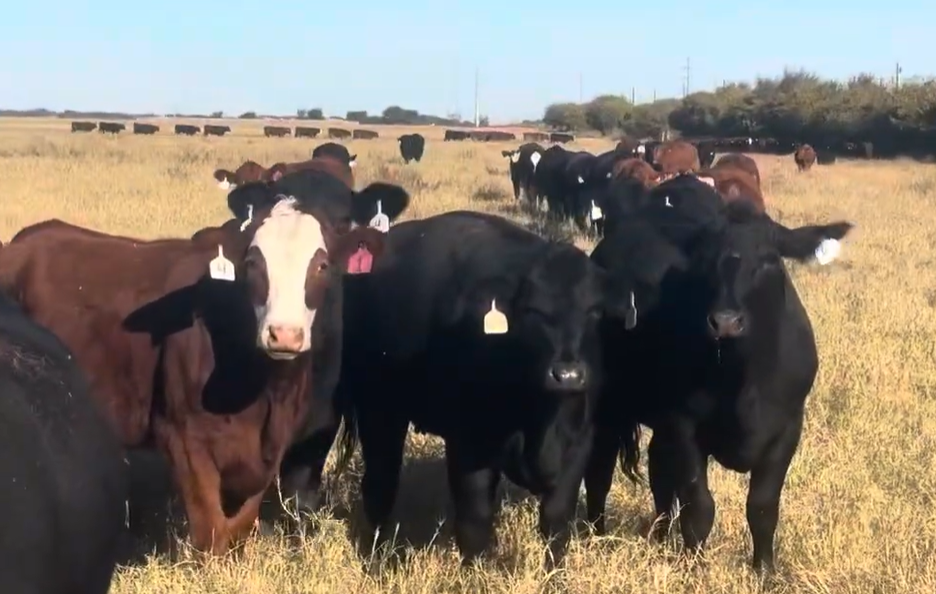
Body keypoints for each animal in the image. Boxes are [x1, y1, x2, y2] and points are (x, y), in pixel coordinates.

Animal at [0, 178, 408, 555]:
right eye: (252, 264)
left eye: (322, 265)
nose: (283, 335)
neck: (264, 388)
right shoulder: (184, 438)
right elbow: (211, 532)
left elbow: (241, 524)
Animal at [331, 209, 677, 567]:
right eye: (533, 311)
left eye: (594, 312)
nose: (567, 375)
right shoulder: (470, 445)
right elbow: (475, 520)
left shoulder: (580, 443)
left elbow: (557, 518)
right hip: (380, 409)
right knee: (380, 482)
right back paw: (377, 555)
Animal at [584, 175, 854, 571]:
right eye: (705, 262)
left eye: (769, 260)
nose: (725, 321)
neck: (743, 381)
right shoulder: (684, 426)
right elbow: (699, 506)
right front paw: (695, 566)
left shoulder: (787, 428)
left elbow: (762, 506)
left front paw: (764, 570)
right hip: (608, 404)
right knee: (600, 471)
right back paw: (594, 536)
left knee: (658, 473)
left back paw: (660, 536)